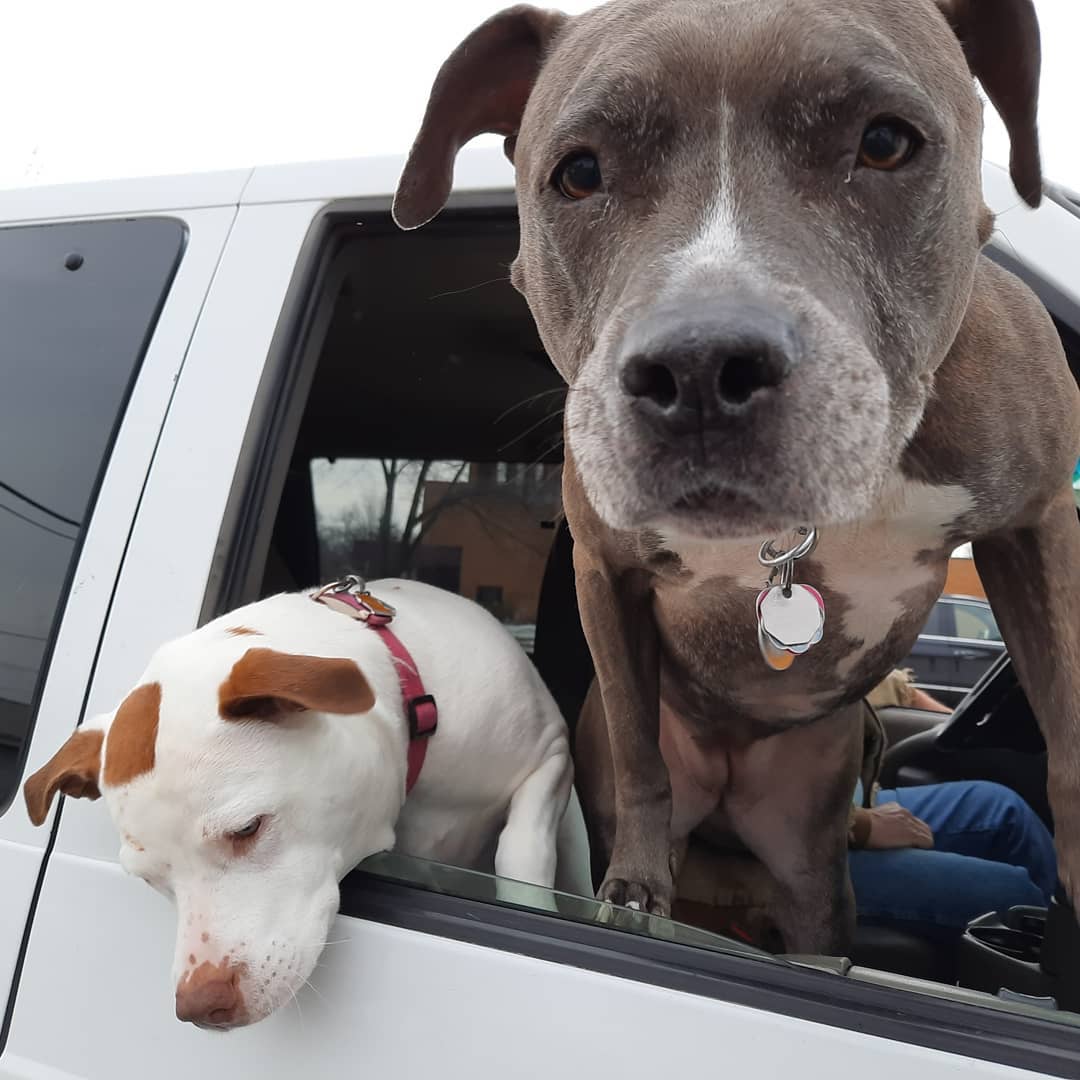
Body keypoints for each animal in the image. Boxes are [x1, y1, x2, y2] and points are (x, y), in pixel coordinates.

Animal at [393, 0, 1075, 950]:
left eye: (886, 143)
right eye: (579, 173)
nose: (700, 367)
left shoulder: (1039, 524)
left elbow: (1070, 754)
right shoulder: (604, 567)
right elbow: (640, 753)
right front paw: (635, 888)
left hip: (814, 856)